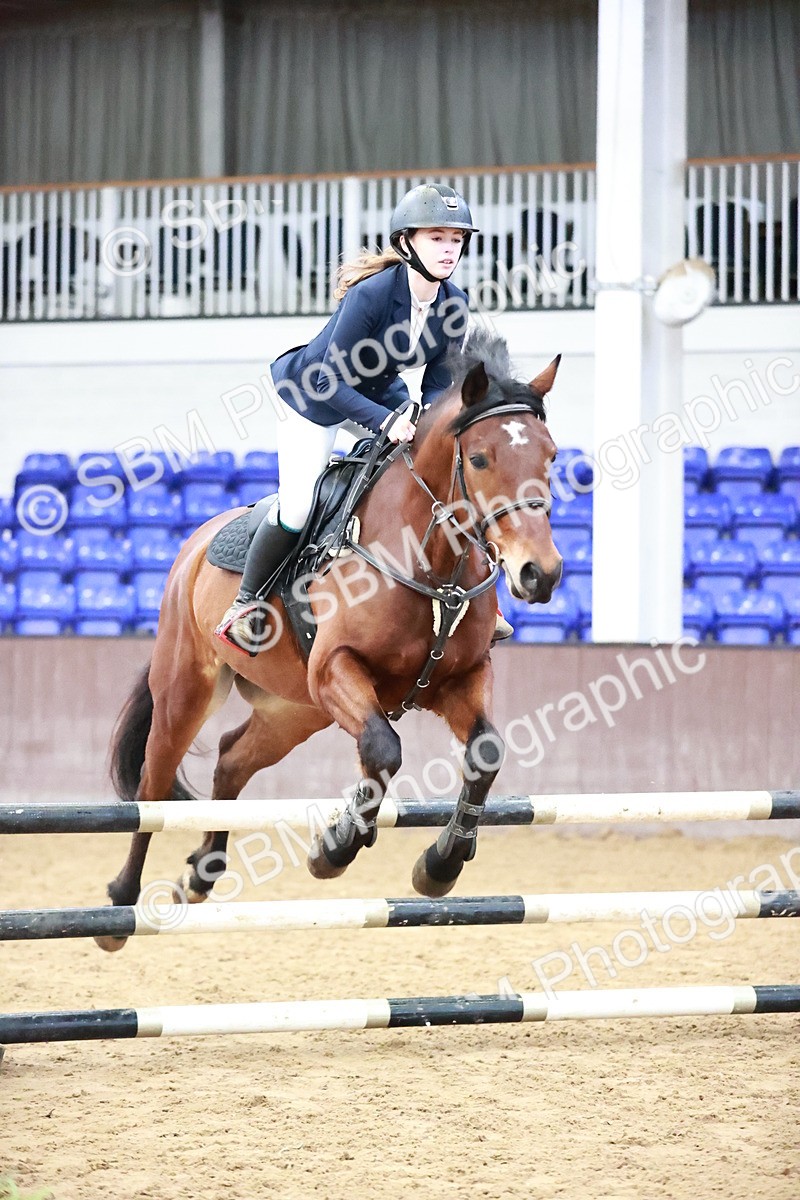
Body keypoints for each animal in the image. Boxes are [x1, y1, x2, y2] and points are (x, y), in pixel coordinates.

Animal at [96, 329, 562, 952]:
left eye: (550, 456)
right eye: (482, 458)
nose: (542, 573)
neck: (429, 560)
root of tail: (195, 542)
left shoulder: (459, 679)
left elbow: (485, 752)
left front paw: (440, 865)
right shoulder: (336, 668)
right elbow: (384, 749)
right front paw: (335, 849)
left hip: (296, 710)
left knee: (231, 760)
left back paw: (203, 873)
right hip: (187, 689)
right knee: (151, 786)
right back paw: (120, 905)